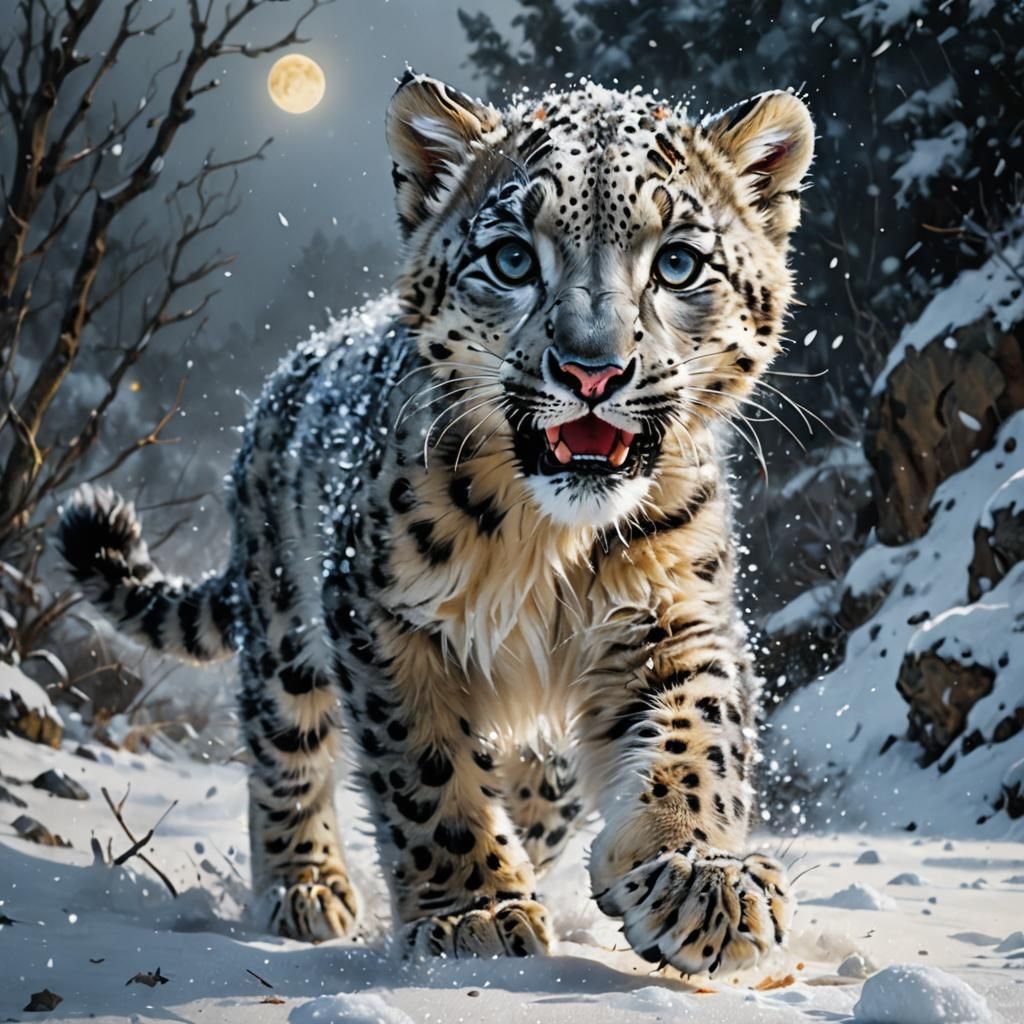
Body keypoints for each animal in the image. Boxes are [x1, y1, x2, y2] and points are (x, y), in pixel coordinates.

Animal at [58, 71, 814, 975]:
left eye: (678, 262)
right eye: (513, 257)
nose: (593, 371)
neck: (550, 544)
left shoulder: (674, 612)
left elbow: (696, 733)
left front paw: (700, 877)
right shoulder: (382, 616)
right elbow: (425, 768)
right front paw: (473, 911)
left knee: (546, 784)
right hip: (283, 626)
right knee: (285, 753)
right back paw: (307, 889)